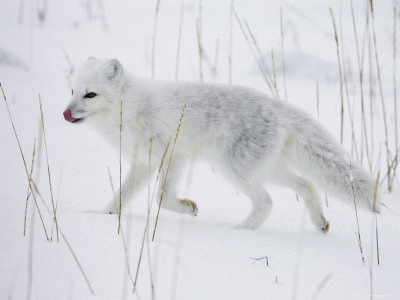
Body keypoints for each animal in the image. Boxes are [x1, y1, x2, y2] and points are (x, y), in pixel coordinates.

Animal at [62, 58, 378, 232]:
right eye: (72, 91)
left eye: (91, 95)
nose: (65, 113)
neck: (131, 108)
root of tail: (278, 107)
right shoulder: (144, 163)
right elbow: (121, 196)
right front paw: (101, 217)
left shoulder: (173, 155)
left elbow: (162, 198)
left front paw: (188, 207)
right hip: (270, 170)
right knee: (307, 185)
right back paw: (320, 223)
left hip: (235, 170)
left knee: (266, 202)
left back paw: (239, 230)